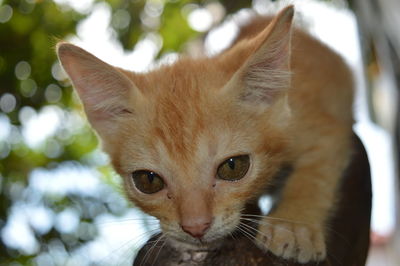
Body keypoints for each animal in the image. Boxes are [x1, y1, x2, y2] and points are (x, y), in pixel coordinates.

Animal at [56, 5, 354, 262]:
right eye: (148, 180)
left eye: (233, 166)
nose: (196, 227)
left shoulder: (323, 129)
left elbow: (314, 176)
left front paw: (293, 225)